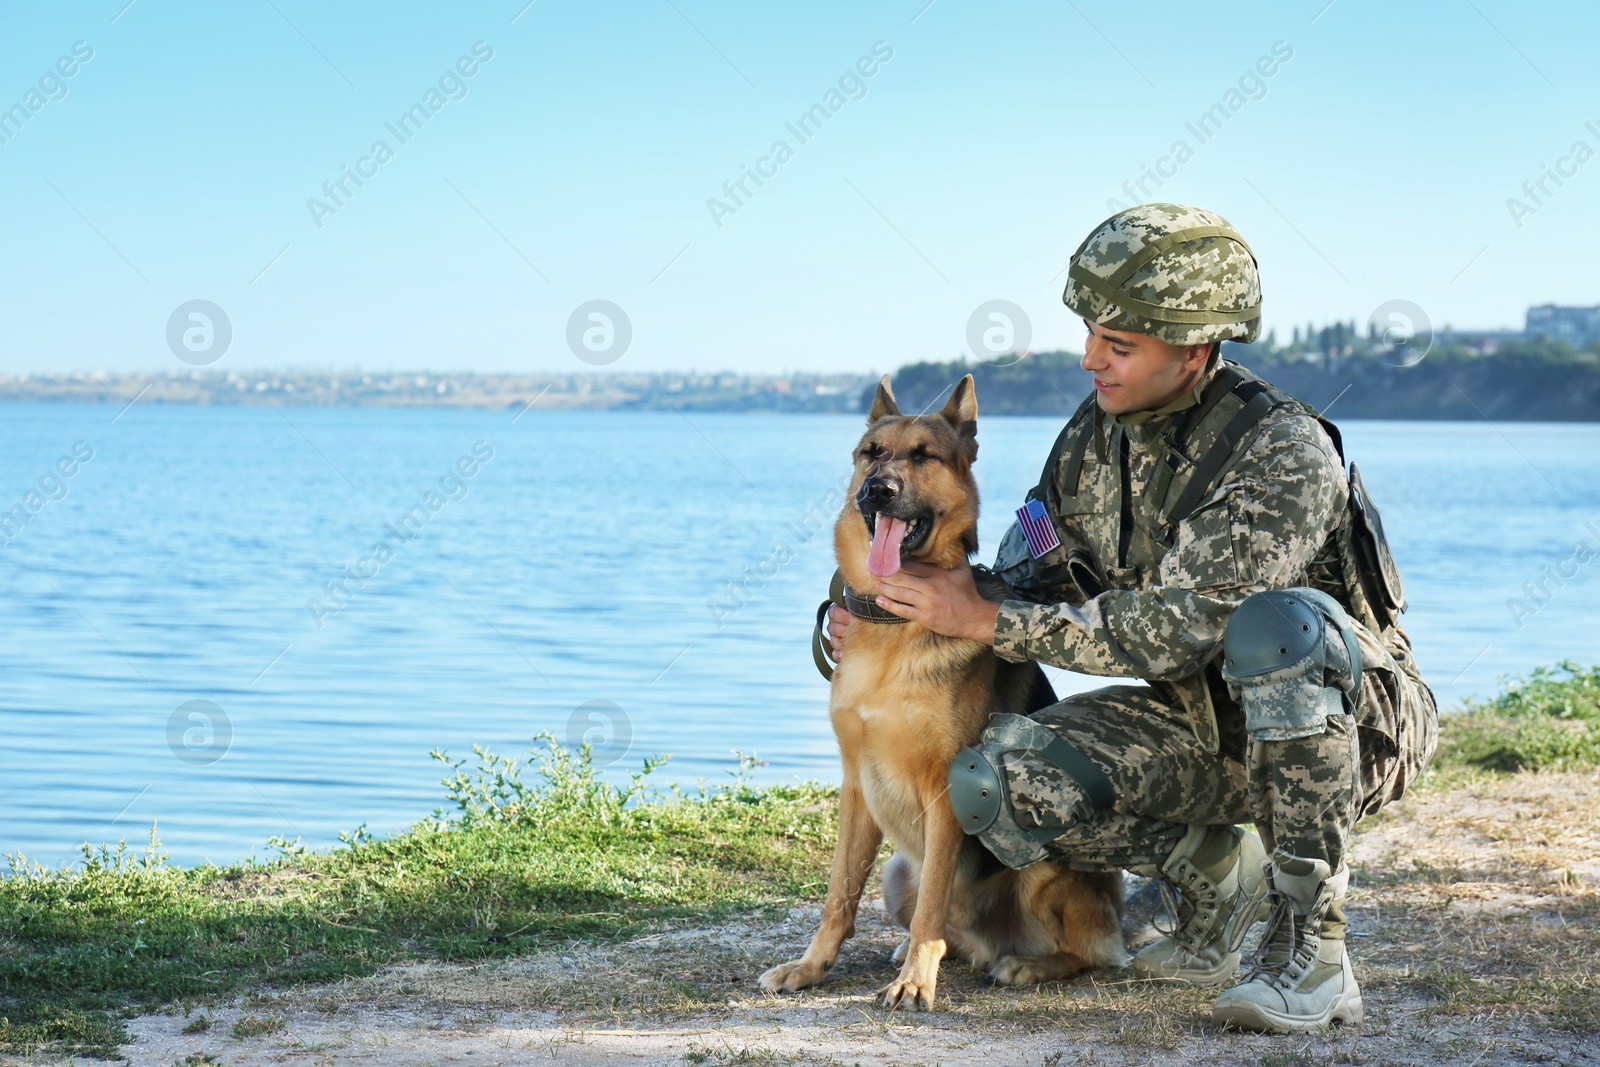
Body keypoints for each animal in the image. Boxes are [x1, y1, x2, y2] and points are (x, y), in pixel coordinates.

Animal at [758, 374, 1126, 1011]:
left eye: (924, 456)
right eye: (872, 453)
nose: (878, 491)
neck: (893, 626)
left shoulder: (946, 792)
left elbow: (933, 899)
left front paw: (915, 983)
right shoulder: (856, 788)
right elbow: (838, 896)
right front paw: (811, 967)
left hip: (1043, 867)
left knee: (1086, 952)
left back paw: (1024, 964)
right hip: (895, 873)